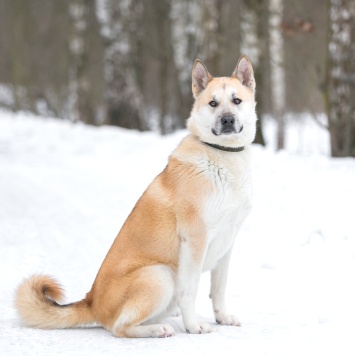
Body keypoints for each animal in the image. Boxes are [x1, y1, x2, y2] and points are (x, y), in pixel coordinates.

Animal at [15, 54, 258, 338]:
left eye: (236, 101)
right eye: (213, 103)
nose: (227, 120)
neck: (221, 156)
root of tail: (92, 301)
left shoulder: (227, 242)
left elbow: (218, 289)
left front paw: (222, 317)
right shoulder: (195, 241)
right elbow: (191, 291)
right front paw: (193, 325)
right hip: (161, 274)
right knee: (120, 327)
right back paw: (158, 329)